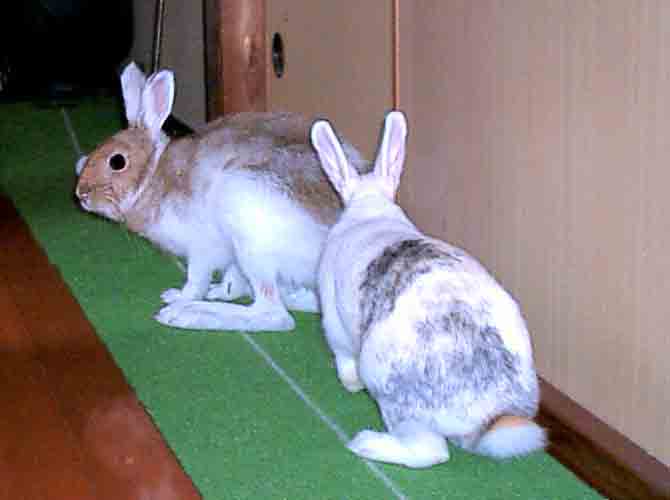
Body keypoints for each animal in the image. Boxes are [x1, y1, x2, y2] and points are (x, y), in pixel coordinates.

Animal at [75, 61, 369, 332]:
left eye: (117, 161)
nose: (80, 193)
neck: (152, 175)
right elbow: (230, 280)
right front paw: (218, 289)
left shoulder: (202, 248)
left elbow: (196, 280)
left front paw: (179, 298)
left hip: (250, 234)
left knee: (274, 314)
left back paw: (186, 314)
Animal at [310, 111, 546, 468]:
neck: (370, 209)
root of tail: (488, 410)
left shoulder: (334, 324)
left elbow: (342, 355)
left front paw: (350, 384)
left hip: (396, 400)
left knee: (430, 451)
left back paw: (365, 443)